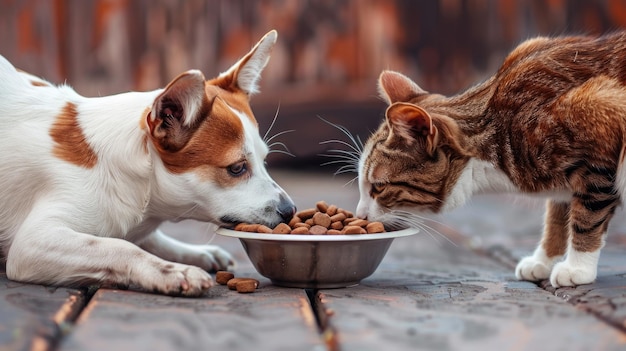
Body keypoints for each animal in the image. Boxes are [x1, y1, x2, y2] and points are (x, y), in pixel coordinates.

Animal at [0, 29, 294, 296]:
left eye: (265, 160)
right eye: (237, 168)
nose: (290, 210)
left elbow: (145, 239)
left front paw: (192, 253)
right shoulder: (33, 243)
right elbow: (118, 246)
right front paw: (171, 271)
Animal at [354, 31, 624, 288]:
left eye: (379, 187)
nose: (360, 216)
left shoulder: (600, 122)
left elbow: (586, 217)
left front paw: (577, 267)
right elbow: (557, 214)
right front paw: (544, 260)